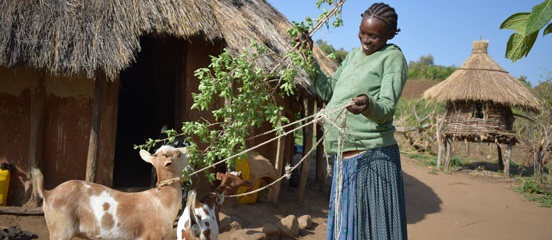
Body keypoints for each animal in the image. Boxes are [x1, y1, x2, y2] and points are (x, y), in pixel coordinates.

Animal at [31, 145, 190, 239]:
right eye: (177, 153)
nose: (188, 148)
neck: (161, 199)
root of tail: (48, 193)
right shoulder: (151, 235)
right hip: (60, 229)